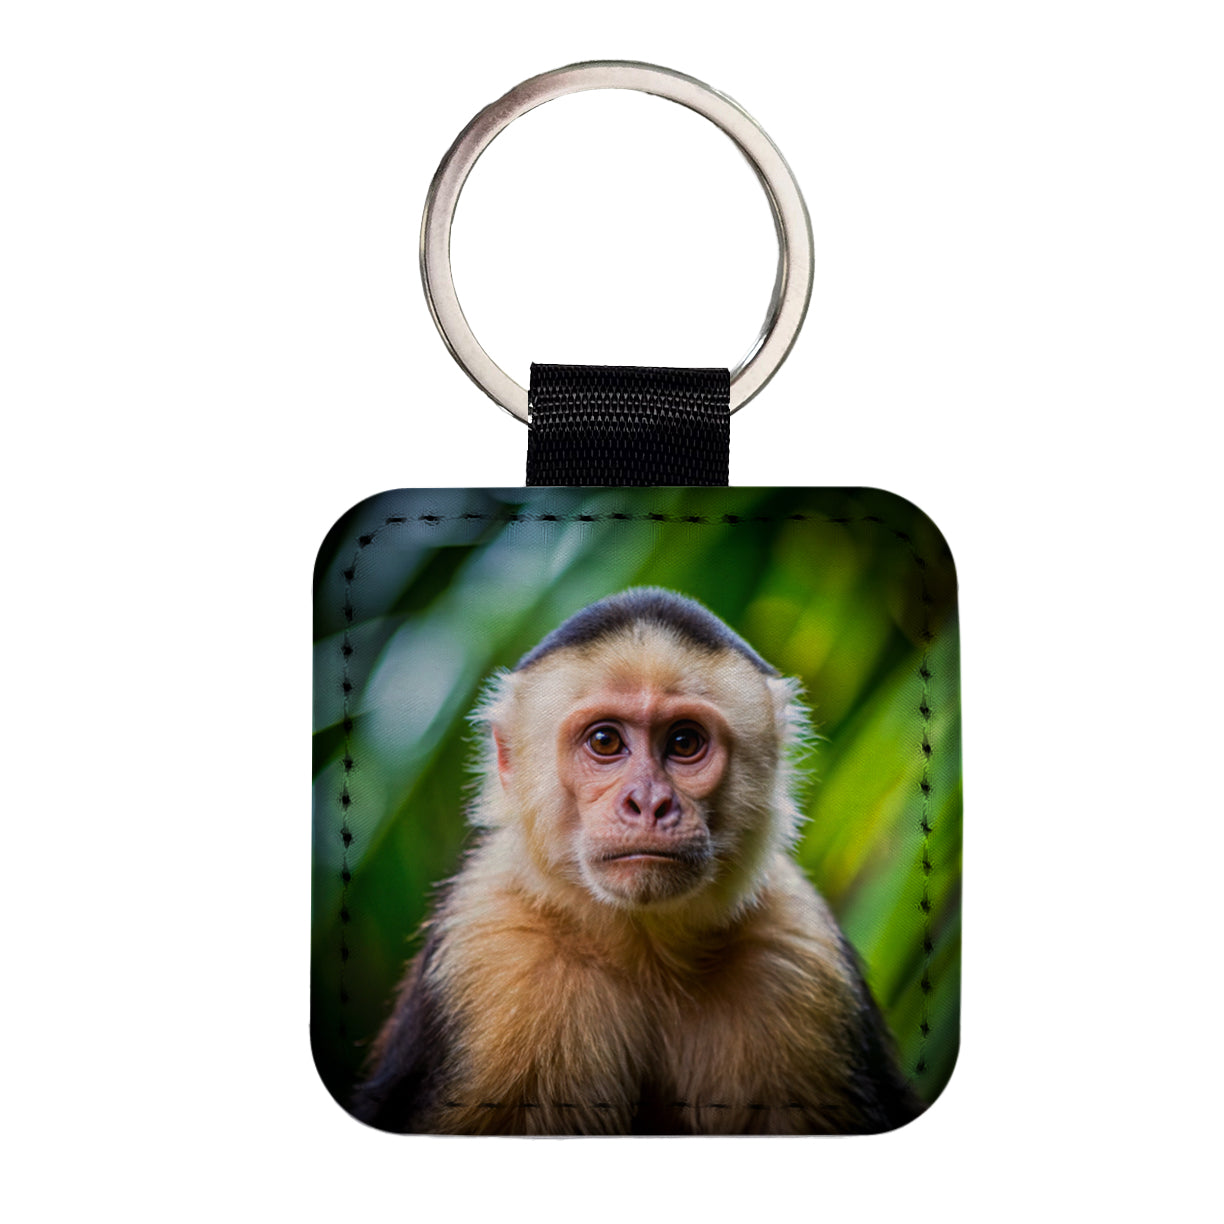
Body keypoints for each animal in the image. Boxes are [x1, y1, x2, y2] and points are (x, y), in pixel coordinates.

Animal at [353, 588, 922, 1135]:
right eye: (606, 741)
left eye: (685, 742)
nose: (648, 802)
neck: (645, 954)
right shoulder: (488, 944)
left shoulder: (801, 950)